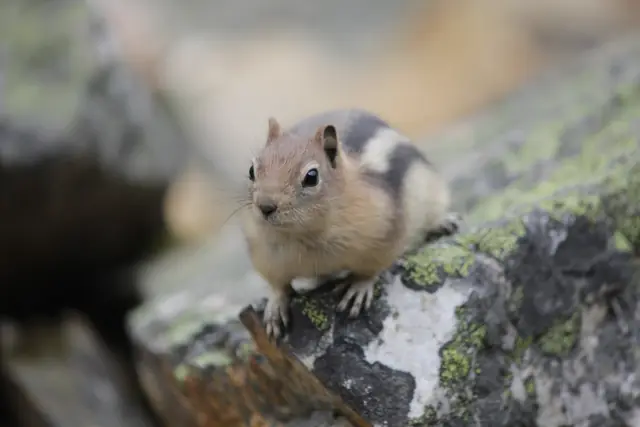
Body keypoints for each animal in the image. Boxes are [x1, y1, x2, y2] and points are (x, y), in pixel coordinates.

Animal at [240, 109, 459, 338]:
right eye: (252, 170)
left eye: (311, 176)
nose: (265, 206)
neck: (306, 234)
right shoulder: (265, 255)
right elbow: (277, 285)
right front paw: (275, 306)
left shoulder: (383, 237)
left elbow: (370, 270)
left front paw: (358, 288)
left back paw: (443, 223)